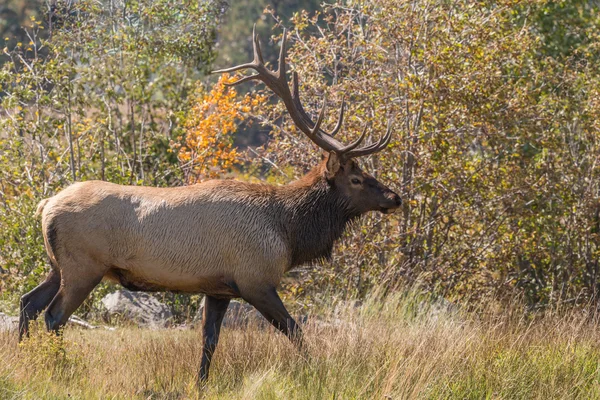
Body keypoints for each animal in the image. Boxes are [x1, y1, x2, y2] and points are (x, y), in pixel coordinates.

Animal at [17, 26, 404, 382]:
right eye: (356, 179)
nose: (395, 197)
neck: (288, 231)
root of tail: (46, 205)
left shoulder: (218, 288)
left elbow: (209, 341)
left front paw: (200, 382)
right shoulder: (255, 280)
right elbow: (294, 330)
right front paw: (317, 371)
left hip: (58, 265)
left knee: (28, 303)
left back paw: (25, 362)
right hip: (84, 266)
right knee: (54, 315)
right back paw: (58, 370)